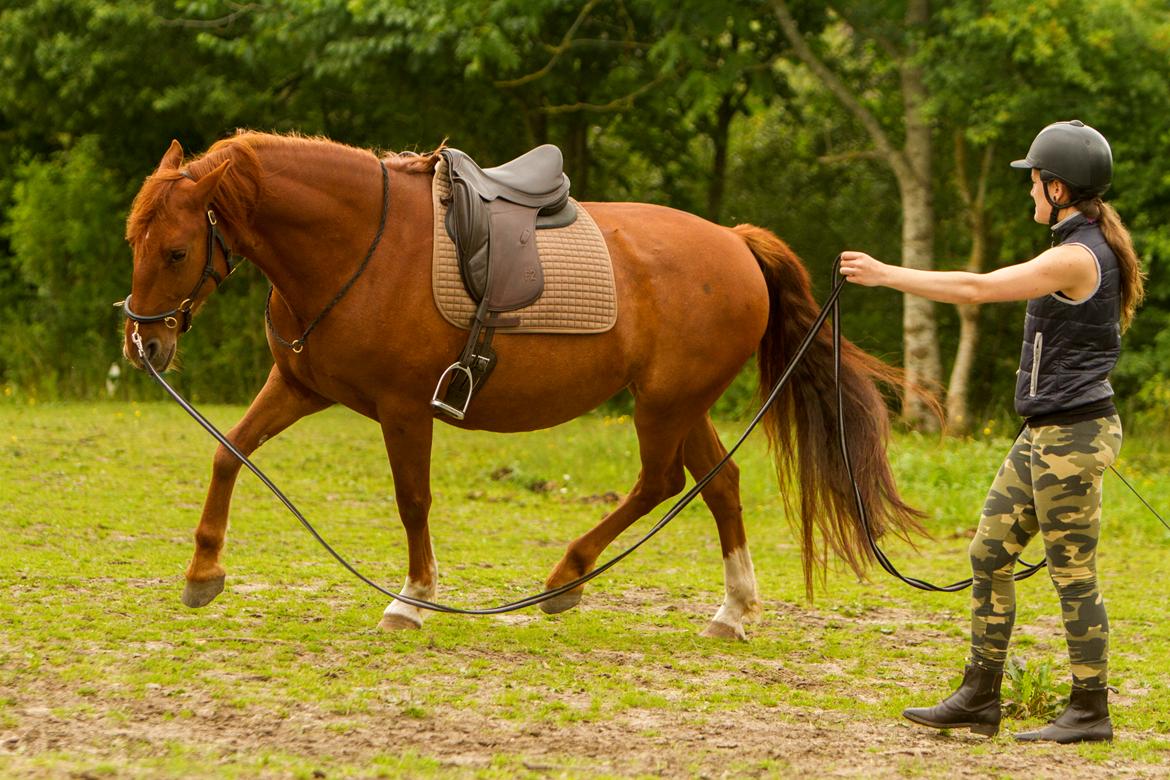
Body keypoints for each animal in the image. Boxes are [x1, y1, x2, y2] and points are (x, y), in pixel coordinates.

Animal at [121, 130, 921, 636]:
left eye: (178, 249)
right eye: (136, 240)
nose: (144, 344)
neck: (359, 246)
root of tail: (735, 241)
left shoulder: (404, 409)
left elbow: (413, 501)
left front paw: (413, 599)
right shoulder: (298, 386)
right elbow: (228, 452)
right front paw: (203, 569)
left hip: (664, 405)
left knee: (662, 483)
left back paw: (568, 575)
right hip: (683, 403)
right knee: (718, 485)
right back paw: (733, 610)